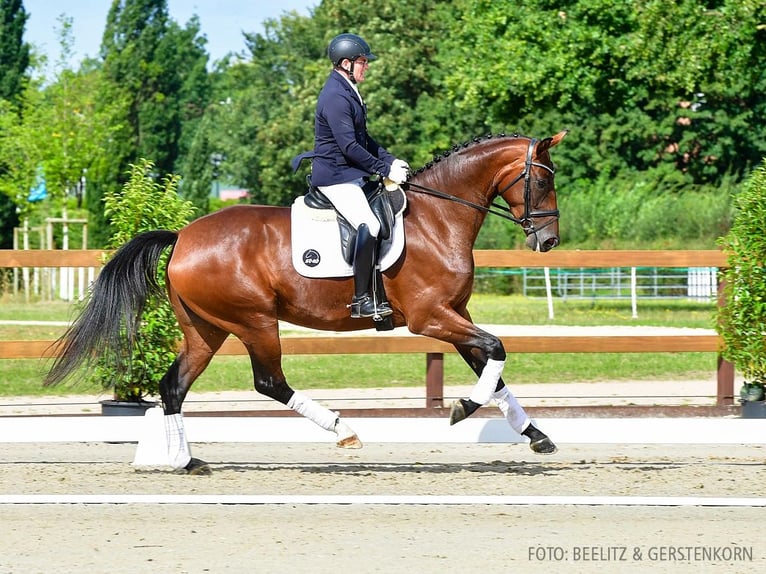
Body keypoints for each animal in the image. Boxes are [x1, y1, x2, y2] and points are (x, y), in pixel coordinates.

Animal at [43, 133, 568, 474]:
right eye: (542, 182)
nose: (548, 242)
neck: (438, 217)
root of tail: (183, 237)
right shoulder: (430, 318)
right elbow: (496, 351)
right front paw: (461, 408)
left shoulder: (456, 314)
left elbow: (493, 368)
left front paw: (536, 435)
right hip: (254, 321)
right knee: (269, 381)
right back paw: (342, 429)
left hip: (205, 329)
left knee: (174, 386)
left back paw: (186, 461)